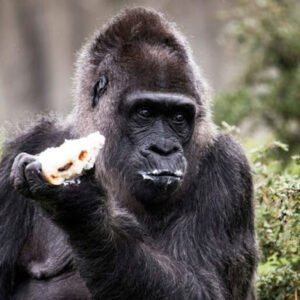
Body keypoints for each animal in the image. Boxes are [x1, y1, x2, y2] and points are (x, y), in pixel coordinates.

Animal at [0, 7, 258, 300]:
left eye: (179, 118)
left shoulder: (230, 168)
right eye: (145, 112)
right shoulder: (26, 145)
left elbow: (206, 288)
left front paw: (84, 209)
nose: (164, 149)